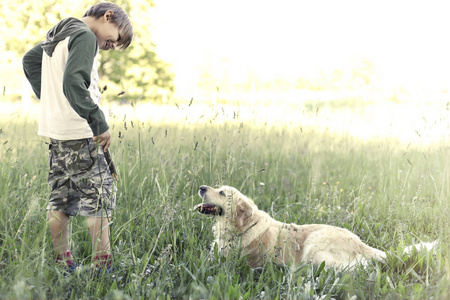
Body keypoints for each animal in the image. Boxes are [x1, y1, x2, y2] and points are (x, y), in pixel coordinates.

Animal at [194, 185, 440, 270]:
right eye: (216, 186)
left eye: (222, 192)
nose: (202, 187)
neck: (241, 228)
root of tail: (360, 243)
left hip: (315, 247)